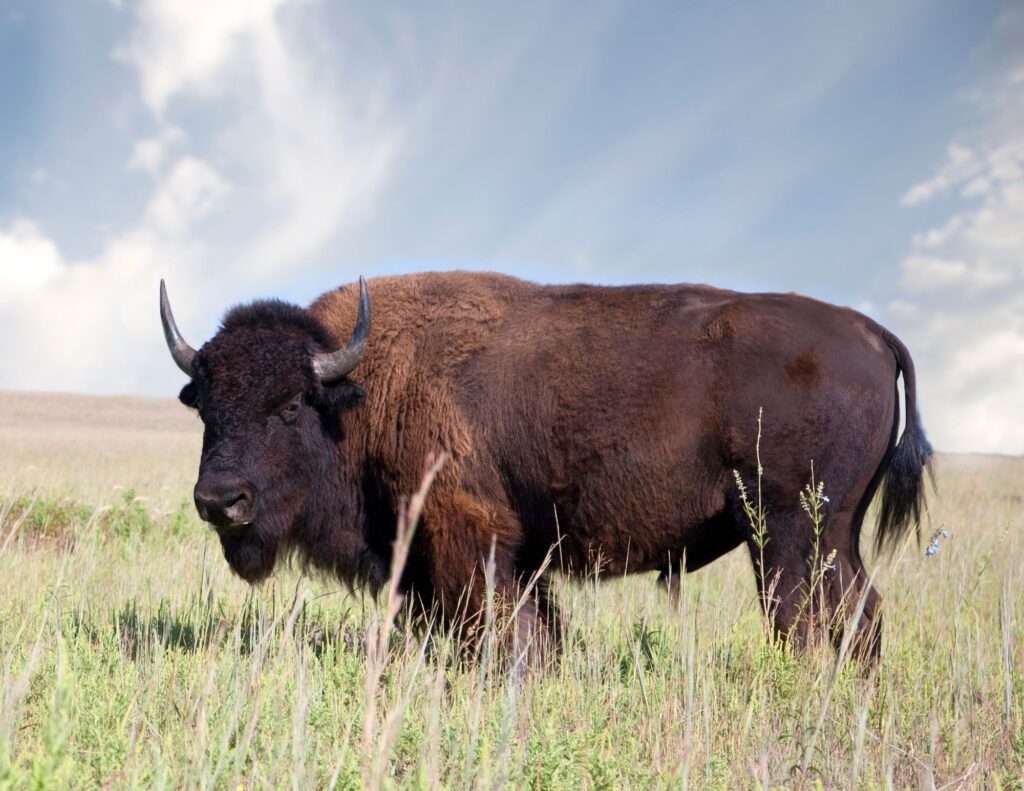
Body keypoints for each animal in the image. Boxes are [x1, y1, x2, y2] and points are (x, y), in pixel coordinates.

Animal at [160, 271, 931, 660]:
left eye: (291, 405)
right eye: (205, 407)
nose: (219, 500)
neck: (359, 388)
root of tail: (871, 330)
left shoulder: (466, 536)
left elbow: (497, 627)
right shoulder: (510, 553)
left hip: (791, 531)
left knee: (806, 619)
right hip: (835, 535)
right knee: (861, 614)